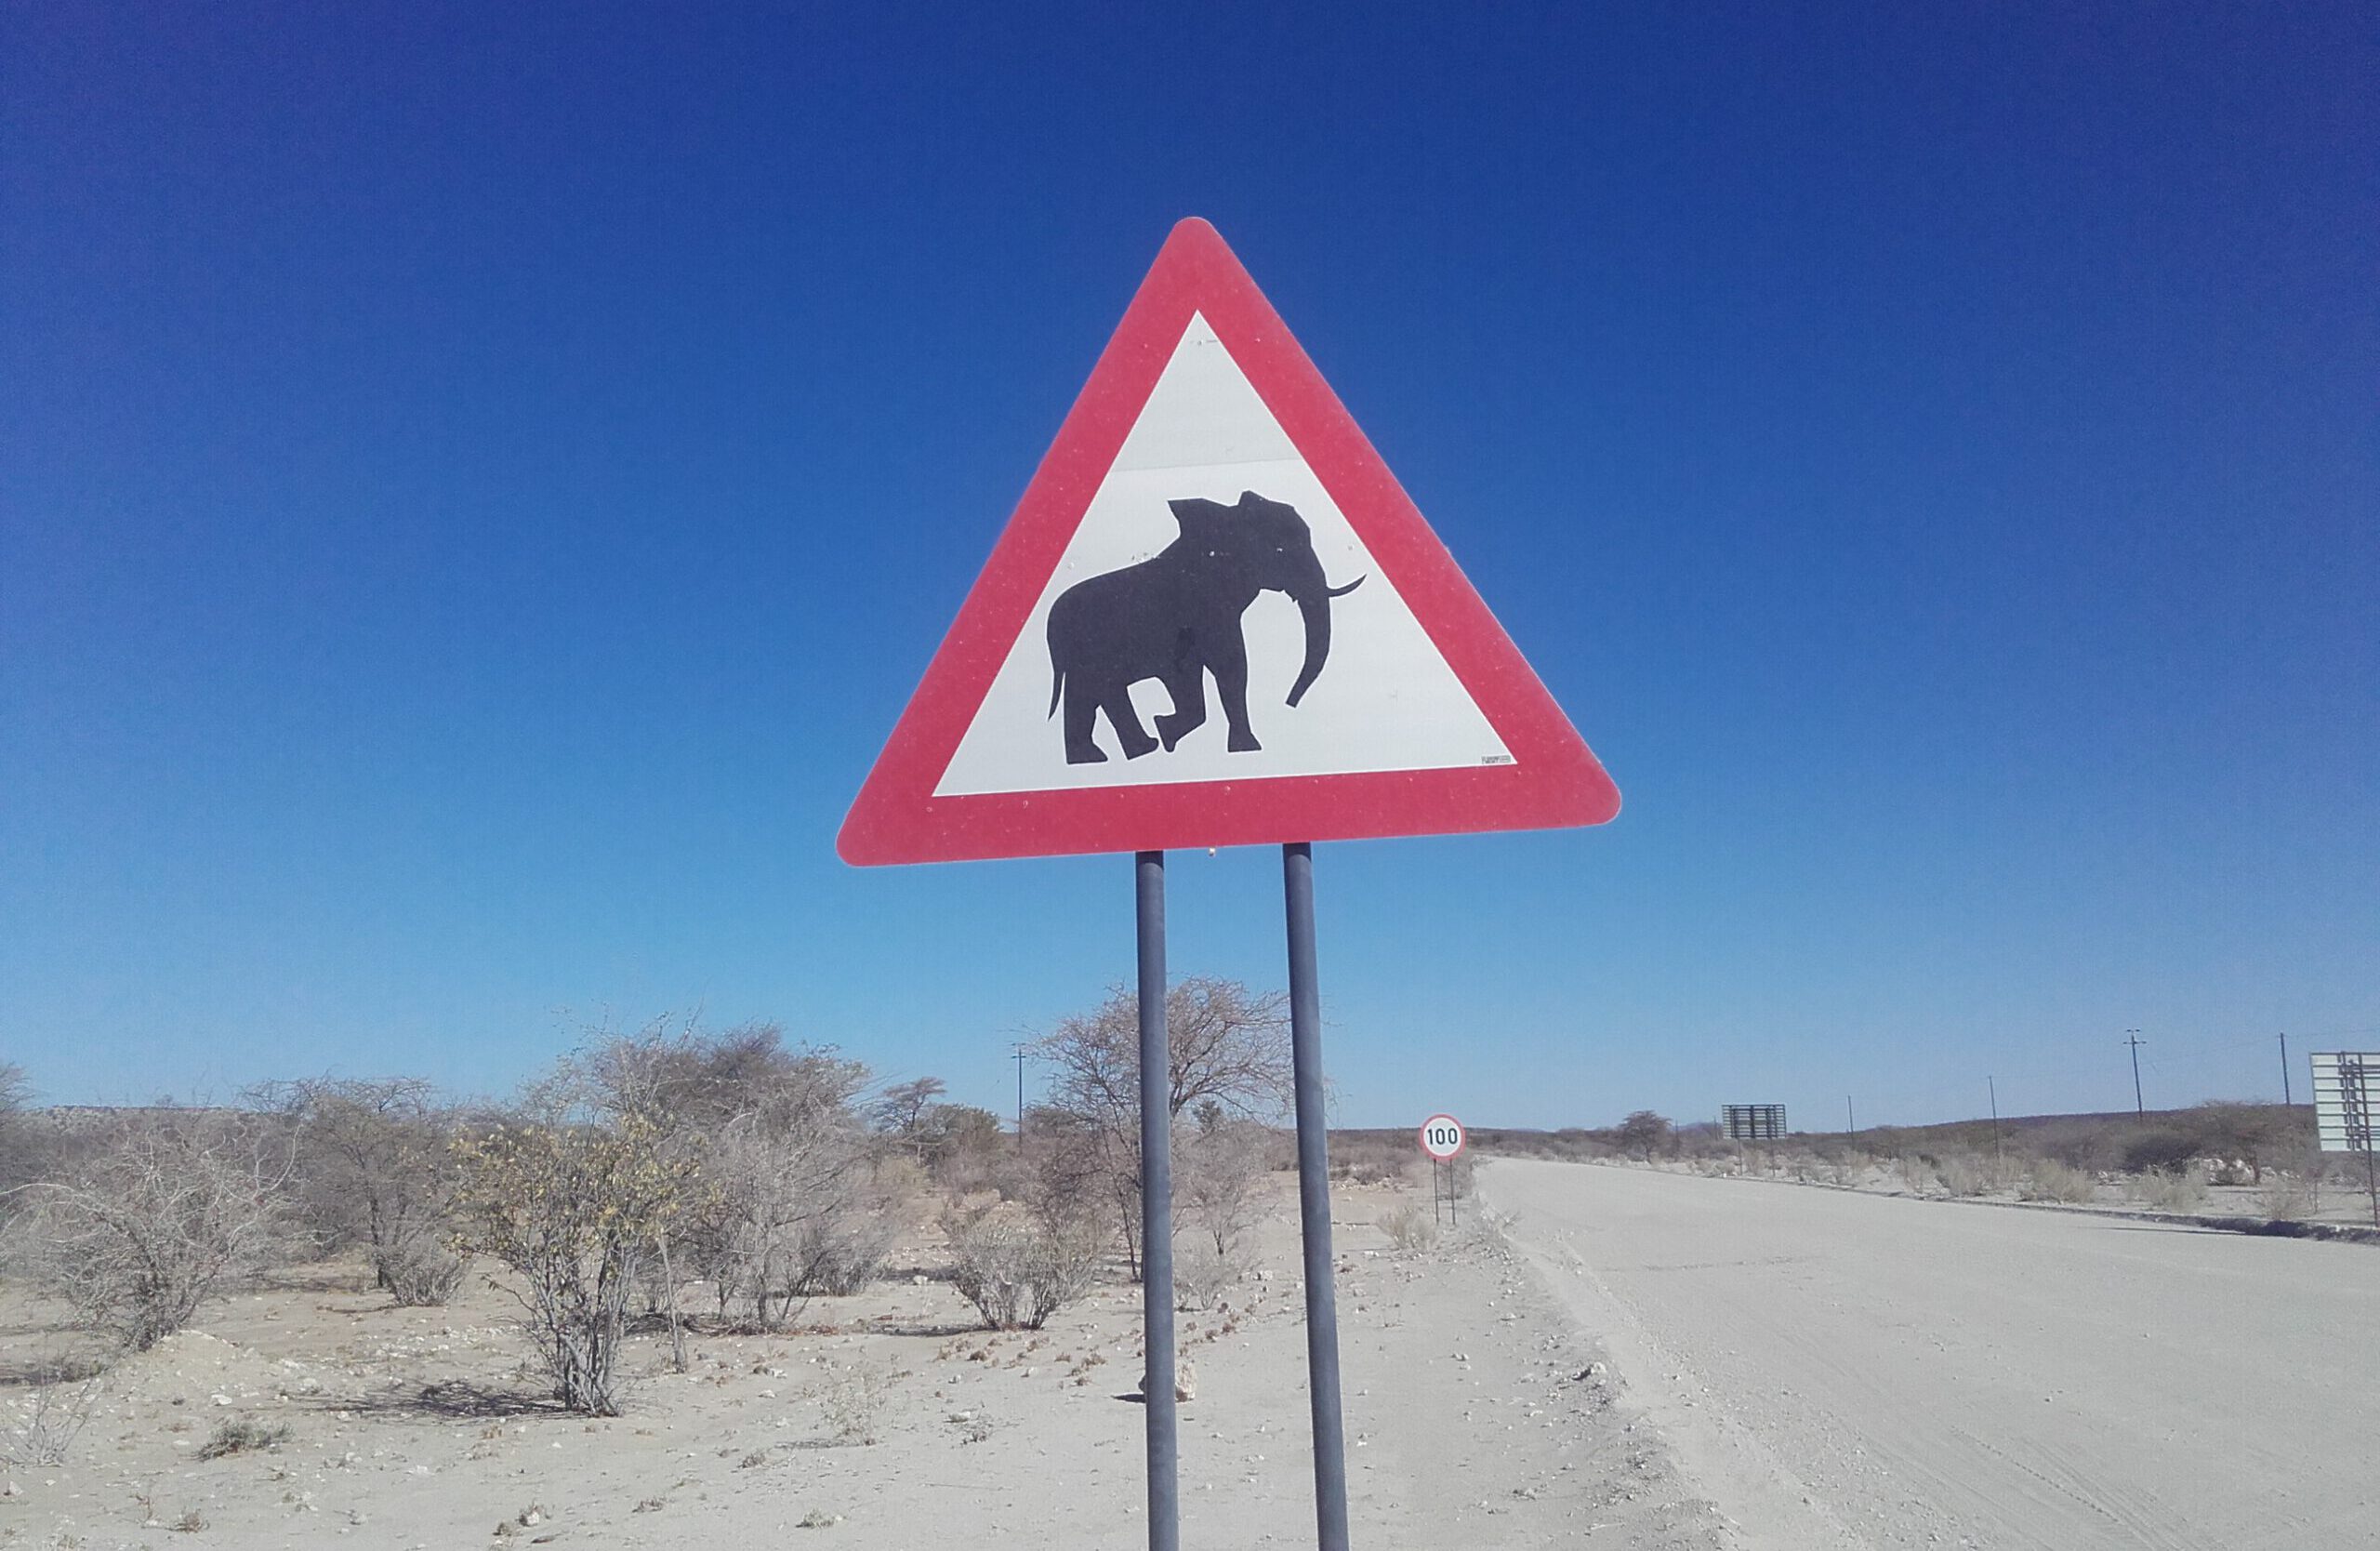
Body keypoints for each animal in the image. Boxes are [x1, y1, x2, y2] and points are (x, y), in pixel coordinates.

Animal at [1045, 491, 1365, 764]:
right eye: (1280, 549)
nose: (1290, 703)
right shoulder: (1197, 616)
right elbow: (1222, 668)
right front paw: (1169, 731)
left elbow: (1218, 673)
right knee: (1101, 690)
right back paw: (1134, 750)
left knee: (1088, 695)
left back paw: (1103, 757)